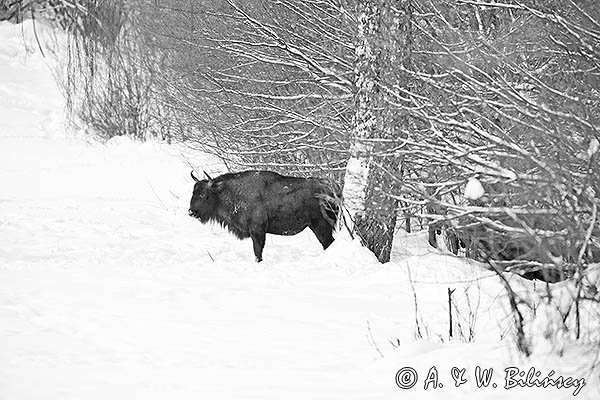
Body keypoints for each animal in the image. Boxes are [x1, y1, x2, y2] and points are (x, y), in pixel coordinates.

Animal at [189, 170, 338, 260]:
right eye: (193, 192)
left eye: (203, 195)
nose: (191, 211)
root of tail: (333, 189)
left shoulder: (257, 231)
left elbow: (258, 251)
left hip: (320, 226)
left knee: (328, 242)